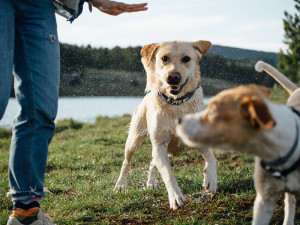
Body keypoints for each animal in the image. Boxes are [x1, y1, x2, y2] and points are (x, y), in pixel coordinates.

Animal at [113, 40, 217, 209]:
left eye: (186, 59)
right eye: (164, 58)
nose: (173, 77)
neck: (176, 104)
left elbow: (211, 156)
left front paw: (211, 180)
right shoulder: (160, 144)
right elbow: (168, 174)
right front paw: (175, 196)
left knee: (152, 162)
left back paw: (151, 182)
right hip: (134, 139)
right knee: (127, 162)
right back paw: (121, 185)